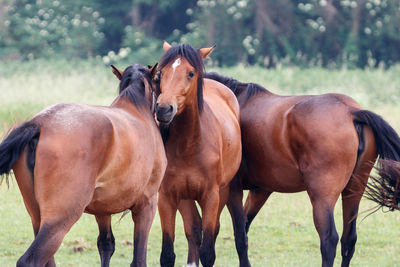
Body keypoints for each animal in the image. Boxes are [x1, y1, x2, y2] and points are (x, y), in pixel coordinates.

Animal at [0, 63, 166, 266]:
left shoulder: (103, 210)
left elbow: (106, 245)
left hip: (37, 217)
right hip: (59, 220)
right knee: (31, 260)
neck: (137, 110)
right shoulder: (147, 205)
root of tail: (39, 124)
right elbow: (139, 258)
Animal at [153, 40, 241, 266]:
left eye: (190, 73)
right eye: (161, 73)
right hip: (185, 197)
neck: (188, 146)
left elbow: (208, 252)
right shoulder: (167, 197)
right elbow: (167, 254)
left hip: (223, 192)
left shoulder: (211, 196)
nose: (163, 109)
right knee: (193, 229)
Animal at [205, 71, 400, 267]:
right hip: (354, 190)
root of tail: (351, 111)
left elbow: (236, 235)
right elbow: (242, 227)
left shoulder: (231, 189)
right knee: (349, 240)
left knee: (329, 239)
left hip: (322, 197)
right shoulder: (261, 190)